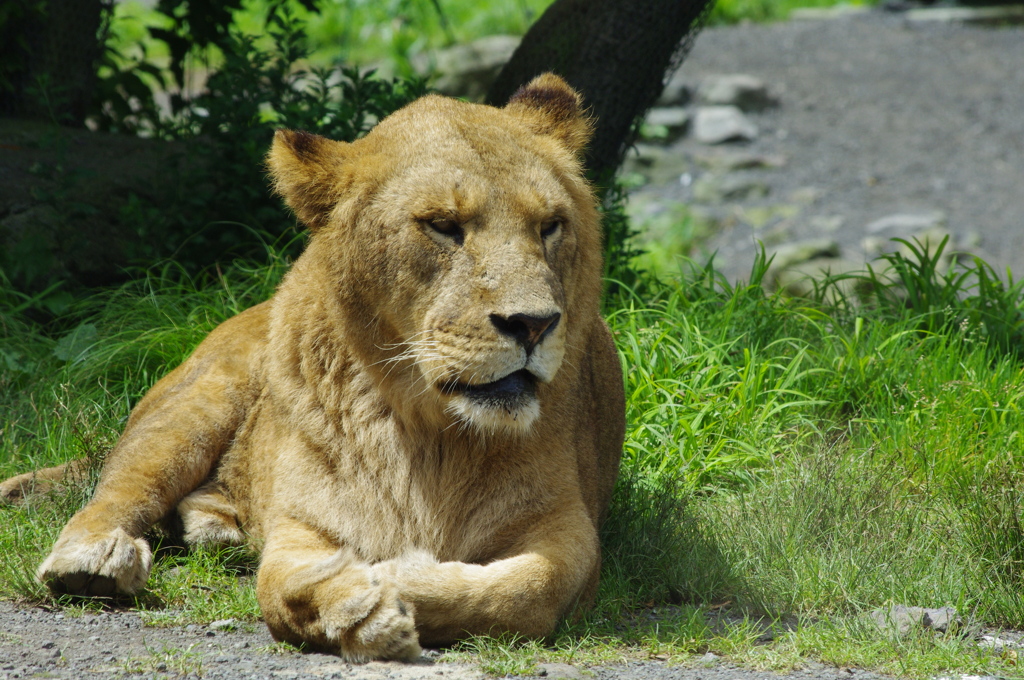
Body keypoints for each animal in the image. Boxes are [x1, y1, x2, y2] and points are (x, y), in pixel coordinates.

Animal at [0, 73, 626, 659]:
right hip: (198, 404)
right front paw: (361, 603)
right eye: (443, 225)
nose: (534, 324)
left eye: (550, 226)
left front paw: (400, 574)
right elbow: (282, 588)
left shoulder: (568, 527)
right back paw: (94, 559)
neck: (433, 433)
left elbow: (525, 592)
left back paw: (213, 527)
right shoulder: (302, 526)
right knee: (119, 486)